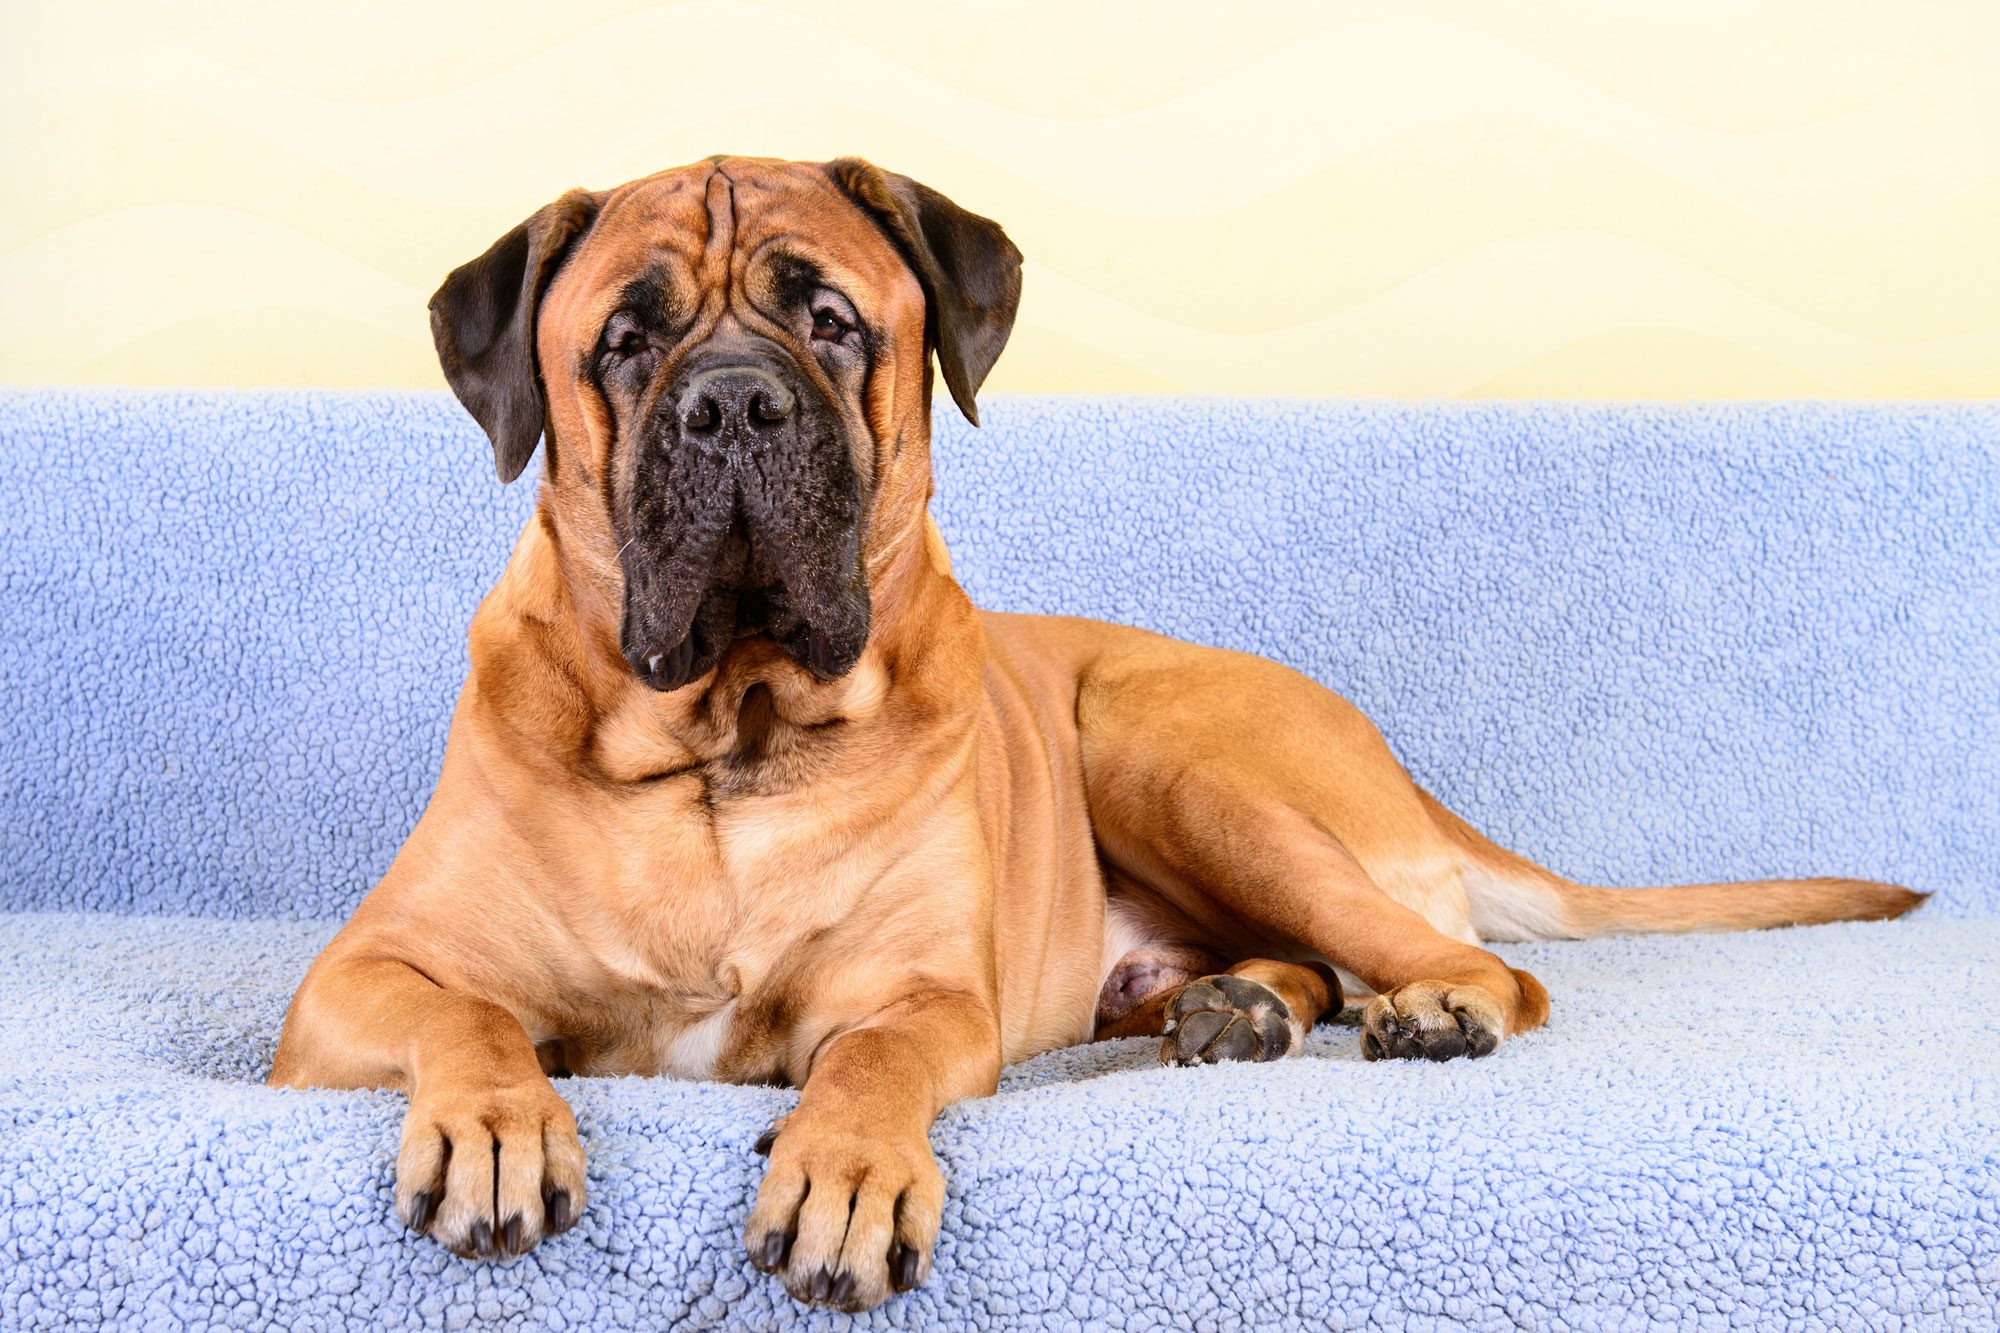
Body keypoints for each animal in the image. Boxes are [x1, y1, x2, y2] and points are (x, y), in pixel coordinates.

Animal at [274, 150, 1928, 1304]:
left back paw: (1416, 1008)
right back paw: (1239, 1008)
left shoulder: (928, 996)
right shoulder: (351, 987)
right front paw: (498, 1121)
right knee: (1301, 961)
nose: (735, 403)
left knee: (1469, 964)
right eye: (625, 340)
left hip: (1161, 751)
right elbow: (472, 1013)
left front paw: (847, 1171)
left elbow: (870, 1064)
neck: (725, 747)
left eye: (832, 323)